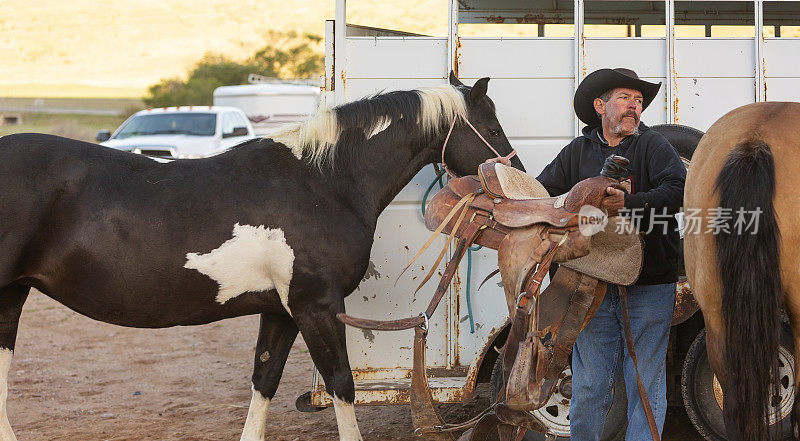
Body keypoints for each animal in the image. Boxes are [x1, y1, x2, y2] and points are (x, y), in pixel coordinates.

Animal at [0, 74, 520, 438]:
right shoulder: (317, 307)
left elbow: (264, 381)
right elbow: (341, 384)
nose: (518, 175)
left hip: (12, 297)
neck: (324, 180)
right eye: (493, 127)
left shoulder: (281, 311)